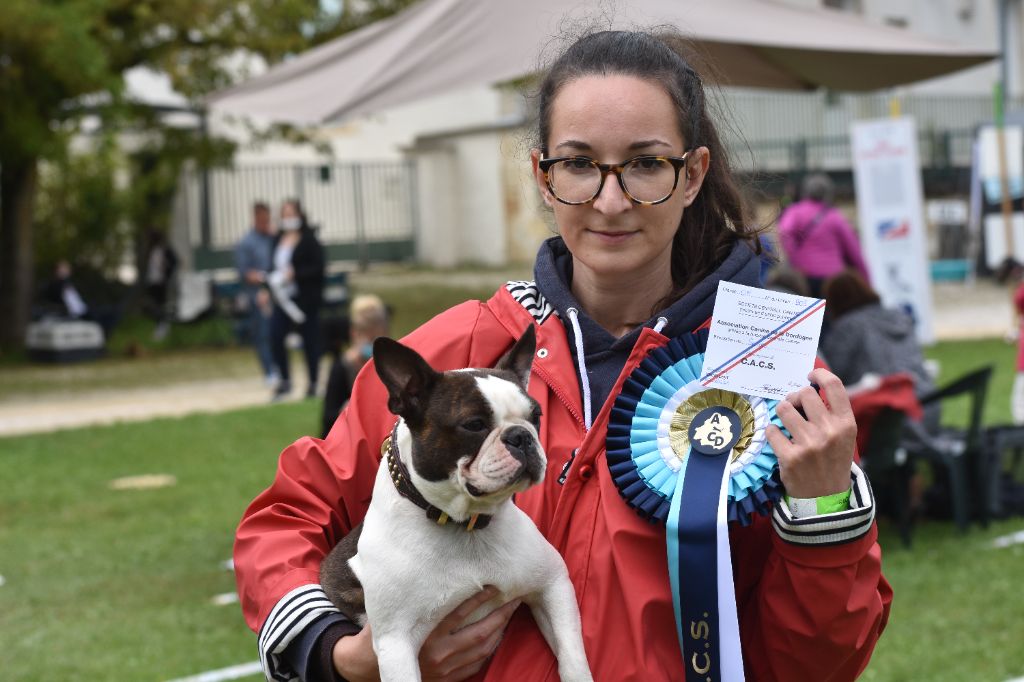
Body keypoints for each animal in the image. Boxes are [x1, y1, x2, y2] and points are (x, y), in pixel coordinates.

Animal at [319, 325, 593, 679]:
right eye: (473, 425)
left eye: (536, 417)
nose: (521, 436)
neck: (465, 524)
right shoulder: (396, 644)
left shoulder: (553, 585)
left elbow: (572, 657)